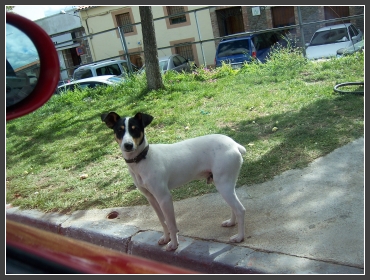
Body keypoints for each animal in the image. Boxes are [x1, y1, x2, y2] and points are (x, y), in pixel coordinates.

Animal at [100, 112, 246, 252]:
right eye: (119, 130)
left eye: (135, 129)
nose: (128, 145)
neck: (143, 159)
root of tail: (234, 145)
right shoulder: (151, 199)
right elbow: (162, 221)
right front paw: (166, 238)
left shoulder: (164, 198)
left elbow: (171, 224)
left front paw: (174, 244)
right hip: (225, 185)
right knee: (234, 207)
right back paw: (231, 222)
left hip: (223, 185)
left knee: (240, 209)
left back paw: (239, 237)